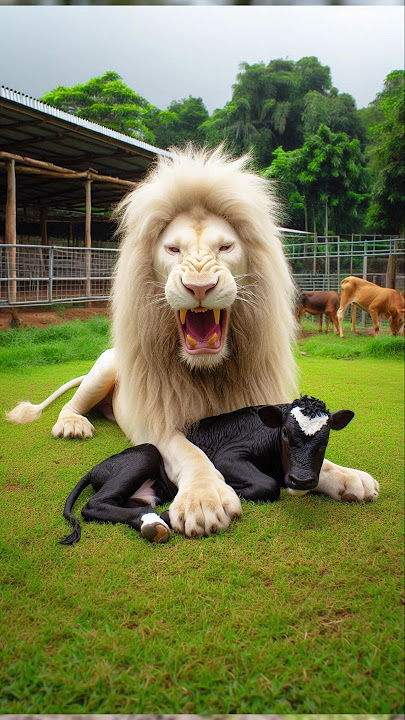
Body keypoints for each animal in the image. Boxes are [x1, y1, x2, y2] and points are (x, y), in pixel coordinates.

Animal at [59, 395, 360, 546]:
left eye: (325, 440)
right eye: (285, 433)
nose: (302, 478)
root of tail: (96, 468)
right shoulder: (229, 456)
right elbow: (268, 486)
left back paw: (155, 521)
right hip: (145, 454)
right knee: (93, 505)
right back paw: (159, 518)